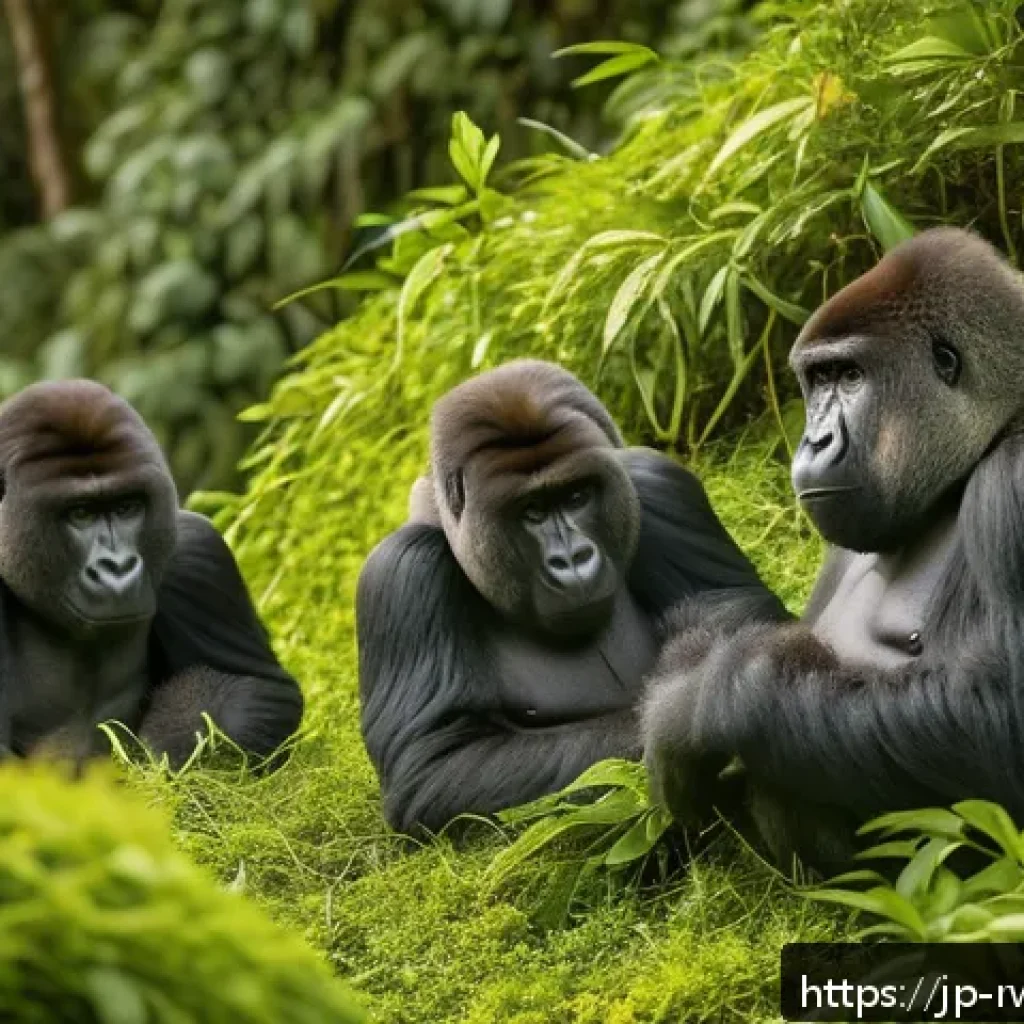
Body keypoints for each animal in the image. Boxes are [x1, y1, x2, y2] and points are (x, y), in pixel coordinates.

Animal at [0, 379, 302, 767]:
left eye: (127, 507)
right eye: (80, 513)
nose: (118, 567)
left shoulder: (196, 553)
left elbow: (260, 685)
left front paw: (181, 748)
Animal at [356, 359, 789, 835]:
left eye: (577, 496)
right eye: (532, 512)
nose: (573, 559)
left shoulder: (657, 483)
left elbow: (741, 616)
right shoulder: (402, 572)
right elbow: (438, 759)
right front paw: (689, 726)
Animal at [643, 227, 1024, 871]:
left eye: (849, 376)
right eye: (818, 380)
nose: (813, 439)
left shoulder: (1018, 477)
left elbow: (998, 721)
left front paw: (701, 698)